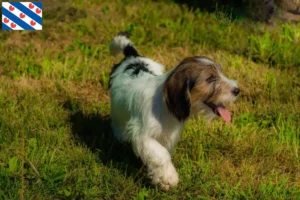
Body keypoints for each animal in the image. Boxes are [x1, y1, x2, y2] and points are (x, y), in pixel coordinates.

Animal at [107, 31, 239, 191]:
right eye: (210, 78)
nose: (237, 90)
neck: (165, 106)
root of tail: (132, 57)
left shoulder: (168, 135)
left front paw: (161, 177)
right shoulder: (142, 134)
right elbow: (161, 154)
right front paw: (169, 178)